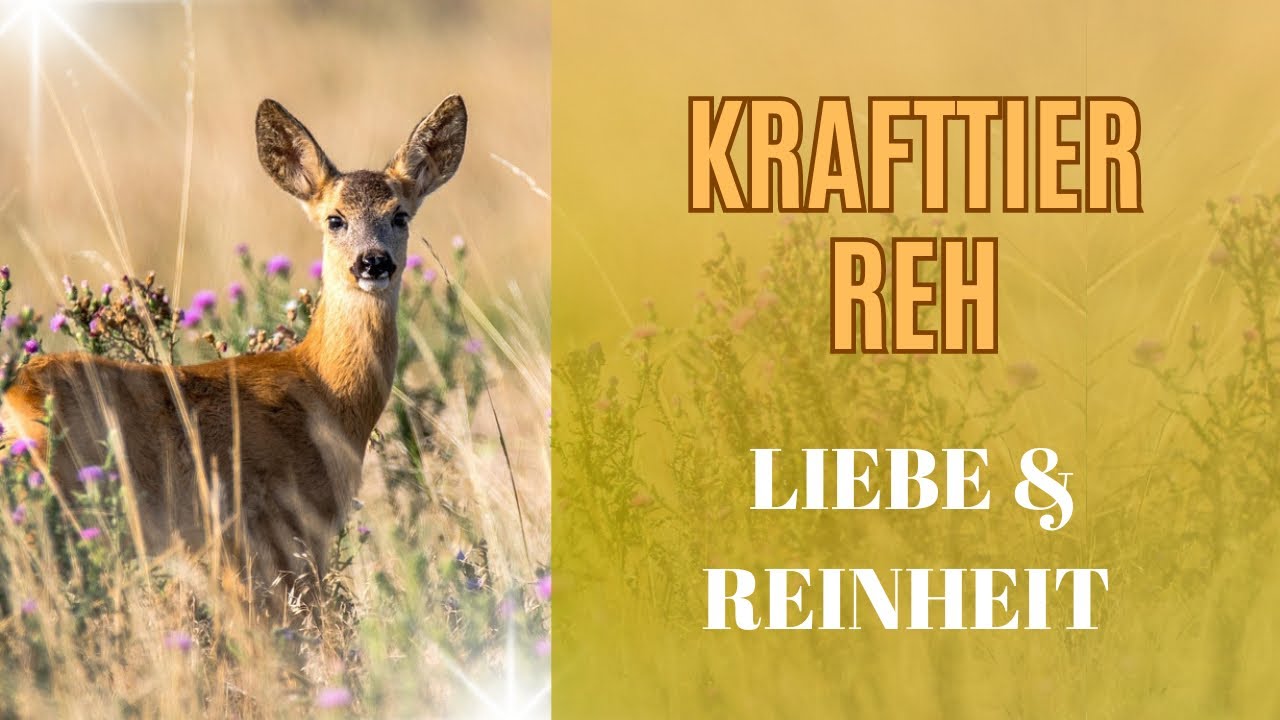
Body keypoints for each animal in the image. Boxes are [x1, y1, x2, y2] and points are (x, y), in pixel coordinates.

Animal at [1, 94, 467, 618]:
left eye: (400, 215)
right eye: (335, 219)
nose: (373, 262)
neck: (325, 392)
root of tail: (16, 393)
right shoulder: (279, 529)